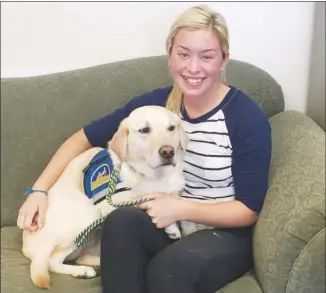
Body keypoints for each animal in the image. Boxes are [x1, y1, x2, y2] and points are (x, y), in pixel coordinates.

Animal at [22, 105, 188, 288]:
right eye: (144, 130)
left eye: (171, 128)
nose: (168, 152)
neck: (156, 176)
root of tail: (27, 247)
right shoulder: (112, 203)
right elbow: (148, 198)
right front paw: (171, 226)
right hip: (88, 215)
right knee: (52, 261)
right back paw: (81, 272)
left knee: (81, 257)